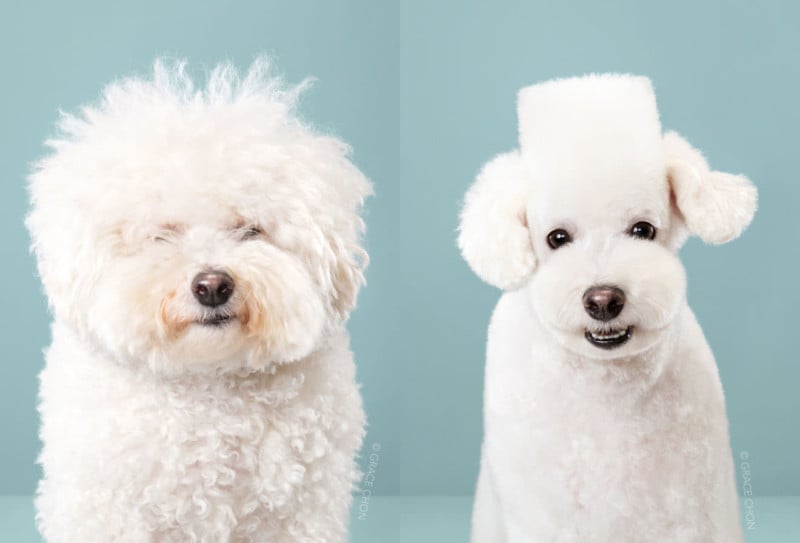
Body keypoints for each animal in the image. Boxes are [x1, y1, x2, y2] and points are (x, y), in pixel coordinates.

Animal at [27, 59, 372, 543]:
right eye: (162, 235)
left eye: (250, 229)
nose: (212, 286)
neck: (209, 389)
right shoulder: (109, 510)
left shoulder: (300, 512)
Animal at [460, 73, 752, 543]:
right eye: (557, 238)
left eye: (643, 230)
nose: (603, 300)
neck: (606, 385)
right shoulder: (544, 510)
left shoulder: (689, 503)